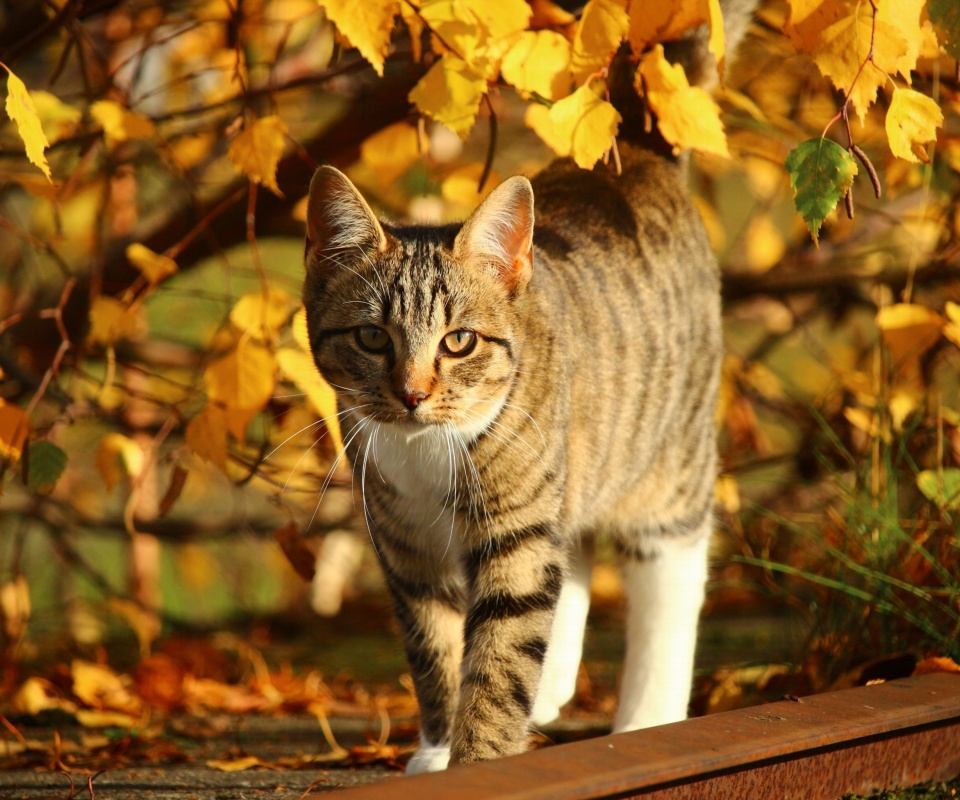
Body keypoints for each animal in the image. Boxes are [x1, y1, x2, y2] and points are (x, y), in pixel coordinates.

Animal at [300, 1, 752, 776]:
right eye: (372, 339)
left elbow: (500, 655)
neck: (428, 453)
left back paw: (648, 716)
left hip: (667, 463)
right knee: (569, 555)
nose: (413, 394)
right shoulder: (404, 546)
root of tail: (635, 159)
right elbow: (436, 650)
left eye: (459, 342)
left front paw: (478, 760)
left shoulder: (514, 525)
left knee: (669, 574)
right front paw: (438, 747)